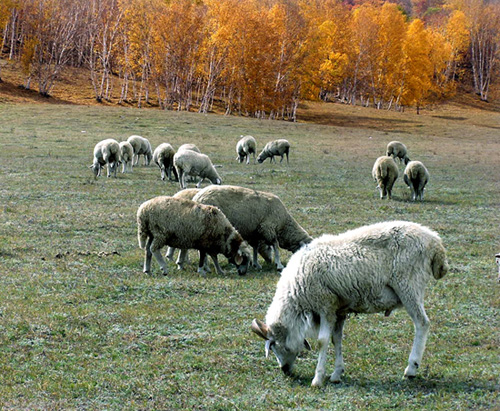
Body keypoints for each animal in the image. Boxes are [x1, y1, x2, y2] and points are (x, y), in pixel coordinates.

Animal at [252, 220, 448, 388]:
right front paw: (336, 374)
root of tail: (435, 241)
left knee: (422, 323)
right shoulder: (338, 310)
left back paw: (411, 368)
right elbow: (336, 339)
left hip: (409, 286)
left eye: (275, 346)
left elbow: (323, 341)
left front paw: (318, 378)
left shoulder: (325, 305)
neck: (296, 295)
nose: (284, 370)